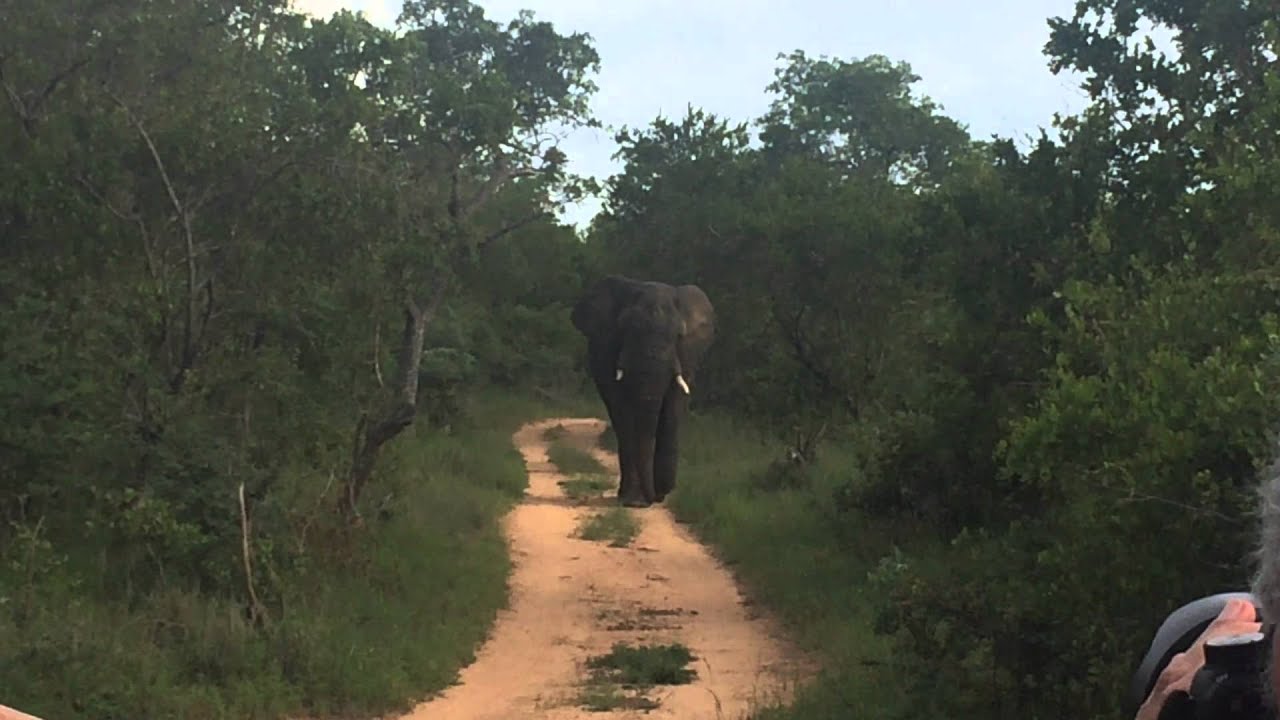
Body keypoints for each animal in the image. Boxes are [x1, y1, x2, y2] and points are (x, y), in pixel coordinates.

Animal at [571, 275, 716, 508]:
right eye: (627, 330)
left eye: (678, 335)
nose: (655, 497)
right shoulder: (607, 350)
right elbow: (623, 411)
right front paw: (633, 501)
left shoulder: (687, 354)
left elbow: (673, 408)